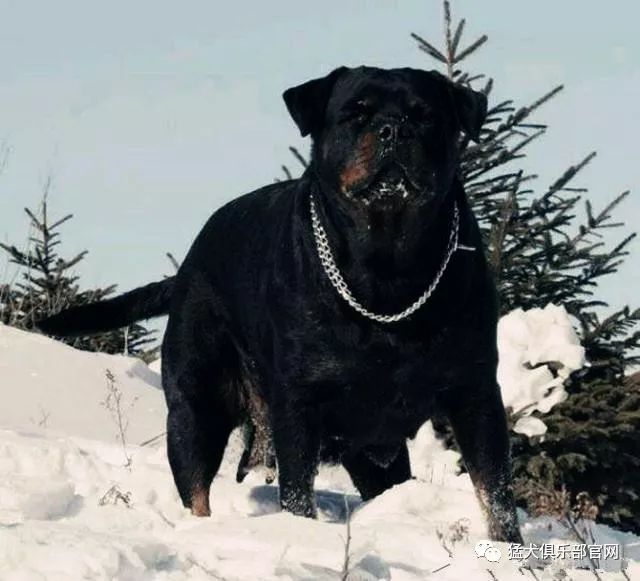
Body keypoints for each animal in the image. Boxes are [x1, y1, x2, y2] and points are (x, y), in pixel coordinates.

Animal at [36, 65, 520, 540]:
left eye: (425, 116)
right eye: (355, 113)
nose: (393, 129)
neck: (387, 272)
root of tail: (187, 266)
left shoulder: (475, 392)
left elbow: (496, 494)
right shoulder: (299, 401)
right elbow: (297, 493)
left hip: (371, 451)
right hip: (198, 403)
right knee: (195, 484)